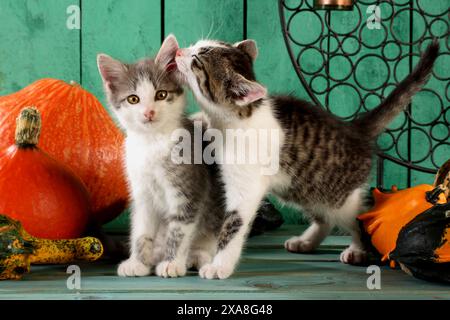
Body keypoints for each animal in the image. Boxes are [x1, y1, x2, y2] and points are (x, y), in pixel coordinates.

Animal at [97, 35, 225, 278]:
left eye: (161, 95)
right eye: (133, 99)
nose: (149, 112)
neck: (152, 142)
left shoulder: (188, 189)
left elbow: (179, 228)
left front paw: (172, 263)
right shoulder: (142, 193)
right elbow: (141, 229)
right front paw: (138, 262)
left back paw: (197, 256)